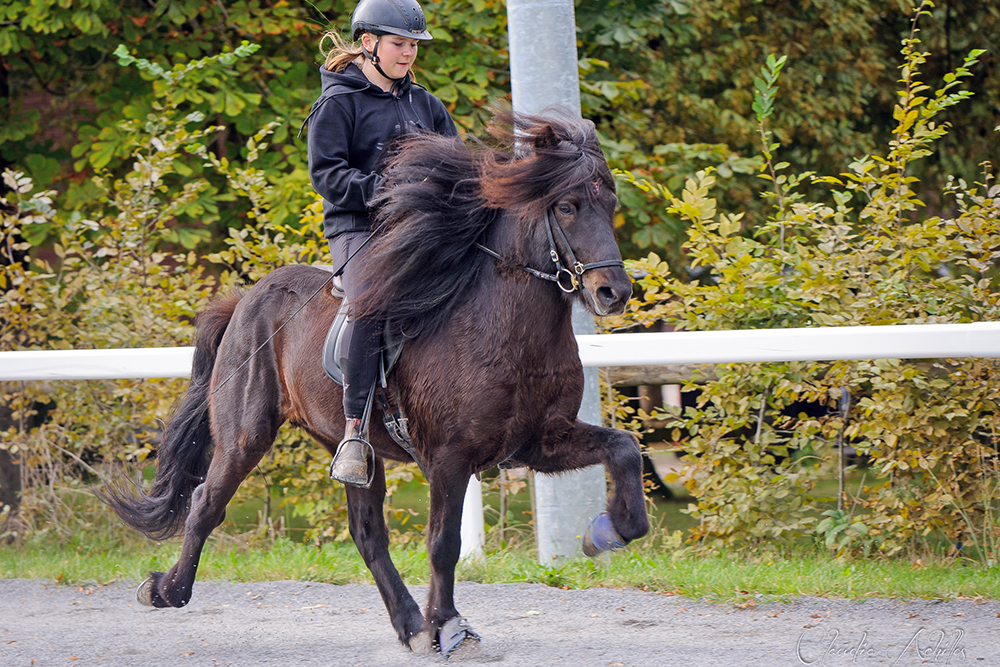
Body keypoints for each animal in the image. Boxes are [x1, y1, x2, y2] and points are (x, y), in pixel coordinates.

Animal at [99, 111, 648, 656]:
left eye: (610, 202)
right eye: (568, 206)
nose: (613, 292)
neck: (505, 329)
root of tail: (245, 300)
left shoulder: (539, 439)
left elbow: (624, 450)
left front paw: (607, 533)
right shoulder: (450, 458)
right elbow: (443, 544)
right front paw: (448, 625)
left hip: (351, 449)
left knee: (365, 533)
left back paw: (409, 624)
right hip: (244, 437)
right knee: (205, 505)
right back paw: (166, 590)